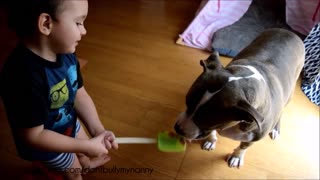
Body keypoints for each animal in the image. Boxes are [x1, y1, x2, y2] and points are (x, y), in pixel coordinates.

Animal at [175, 28, 304, 167]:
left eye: (206, 121)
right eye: (187, 103)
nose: (177, 128)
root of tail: (290, 32)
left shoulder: (254, 137)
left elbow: (244, 146)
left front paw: (237, 156)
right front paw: (211, 140)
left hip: (290, 91)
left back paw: (276, 128)